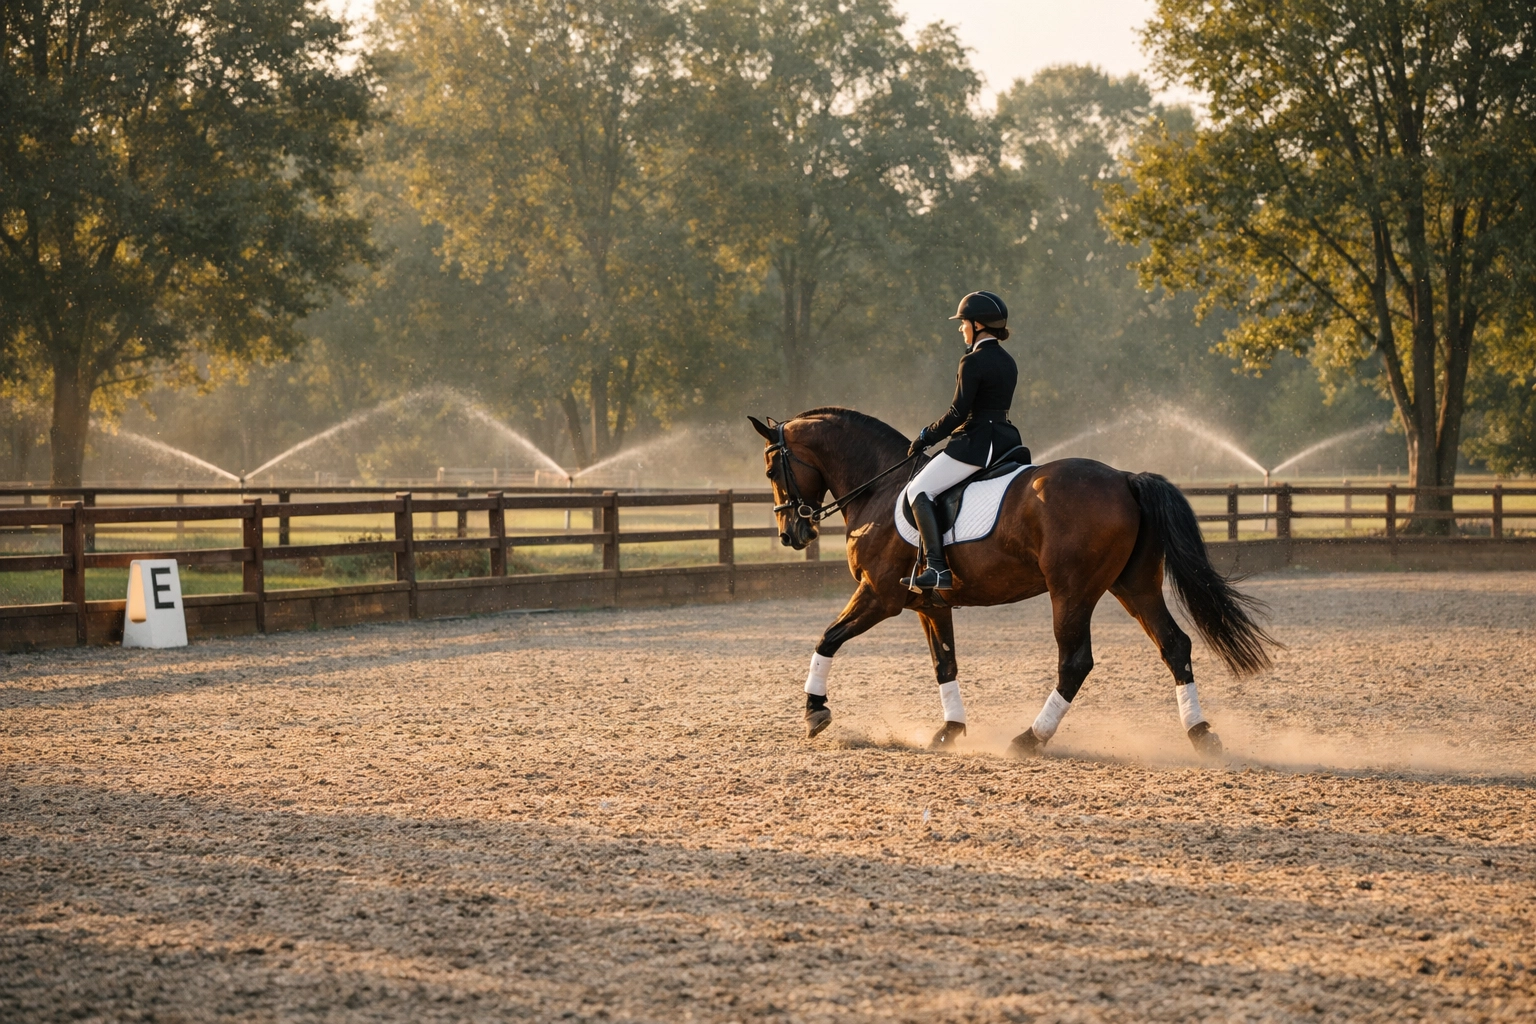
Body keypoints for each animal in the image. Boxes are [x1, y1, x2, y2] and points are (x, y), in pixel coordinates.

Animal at [749, 408, 1277, 758]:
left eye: (773, 468)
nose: (791, 534)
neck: (879, 488)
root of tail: (1125, 478)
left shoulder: (880, 596)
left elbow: (827, 638)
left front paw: (815, 711)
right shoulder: (930, 605)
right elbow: (945, 664)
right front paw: (950, 731)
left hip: (1072, 591)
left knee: (1076, 662)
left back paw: (1029, 738)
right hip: (1135, 586)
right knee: (1174, 645)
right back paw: (1201, 734)